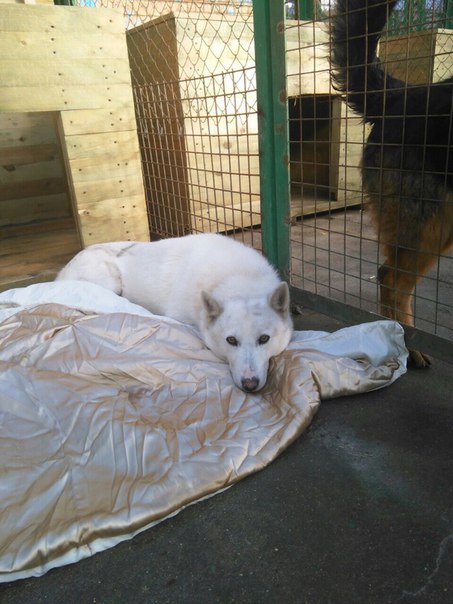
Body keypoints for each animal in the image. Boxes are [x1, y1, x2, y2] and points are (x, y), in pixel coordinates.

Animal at [56, 233, 293, 392]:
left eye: (264, 339)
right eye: (231, 341)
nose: (250, 384)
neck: (238, 277)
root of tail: (61, 273)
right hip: (110, 282)